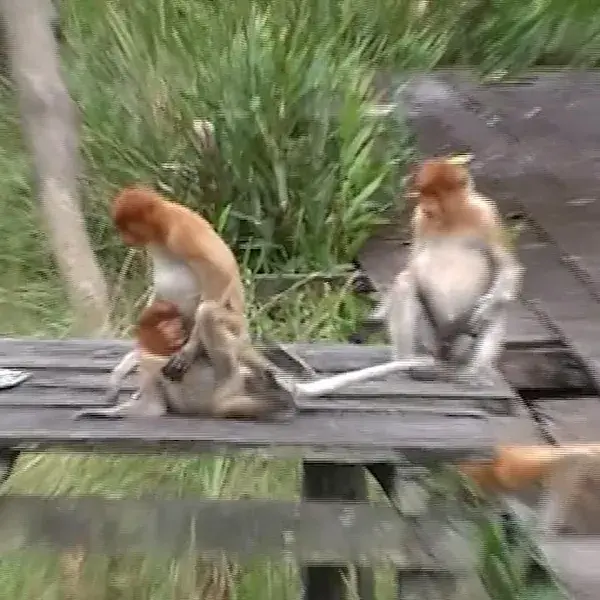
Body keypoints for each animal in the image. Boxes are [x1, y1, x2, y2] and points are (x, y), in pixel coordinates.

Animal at [368, 157, 524, 386]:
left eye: (436, 194)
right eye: (424, 193)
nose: (426, 206)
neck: (452, 218)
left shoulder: (486, 213)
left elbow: (507, 266)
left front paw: (486, 307)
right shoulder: (419, 219)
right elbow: (412, 266)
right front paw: (380, 310)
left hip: (461, 346)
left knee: (499, 307)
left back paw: (471, 373)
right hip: (429, 338)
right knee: (406, 285)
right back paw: (404, 364)